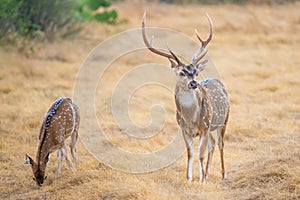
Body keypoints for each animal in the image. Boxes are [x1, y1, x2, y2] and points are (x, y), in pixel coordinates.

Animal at [142, 11, 230, 182]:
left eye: (196, 72)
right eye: (182, 72)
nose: (194, 83)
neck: (191, 119)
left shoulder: (204, 126)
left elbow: (200, 154)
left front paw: (201, 180)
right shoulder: (183, 129)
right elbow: (190, 153)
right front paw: (189, 178)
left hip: (224, 119)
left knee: (221, 143)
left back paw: (222, 174)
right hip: (211, 127)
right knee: (213, 144)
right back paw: (208, 173)